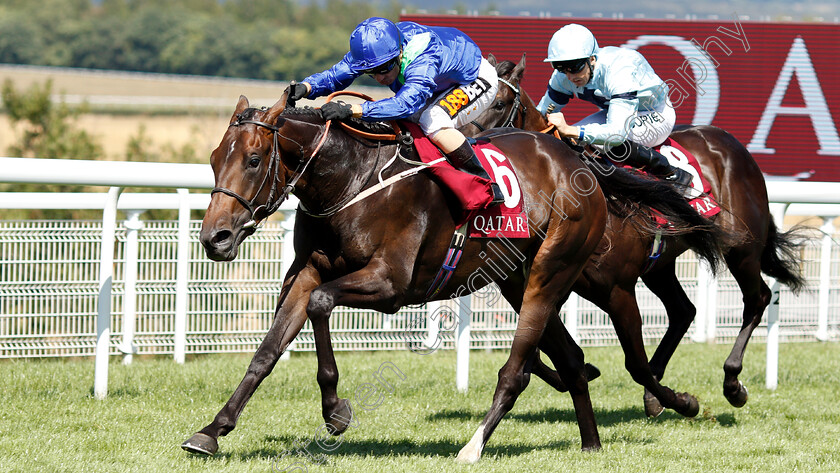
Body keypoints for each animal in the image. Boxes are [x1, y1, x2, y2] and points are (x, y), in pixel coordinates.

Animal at [182, 89, 612, 460]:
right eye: (214, 158)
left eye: (254, 159)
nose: (214, 238)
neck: (350, 180)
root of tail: (573, 160)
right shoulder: (306, 273)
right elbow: (267, 351)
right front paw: (212, 430)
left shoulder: (390, 285)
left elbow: (322, 302)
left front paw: (335, 411)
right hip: (515, 280)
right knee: (571, 359)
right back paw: (591, 442)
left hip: (550, 271)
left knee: (516, 371)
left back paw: (473, 447)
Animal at [470, 54, 804, 416]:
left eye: (499, 103)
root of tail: (732, 145)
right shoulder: (548, 284)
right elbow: (542, 349)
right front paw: (584, 371)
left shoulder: (617, 289)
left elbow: (629, 363)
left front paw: (683, 401)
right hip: (660, 264)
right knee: (683, 310)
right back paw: (657, 392)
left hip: (741, 248)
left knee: (757, 299)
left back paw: (732, 384)